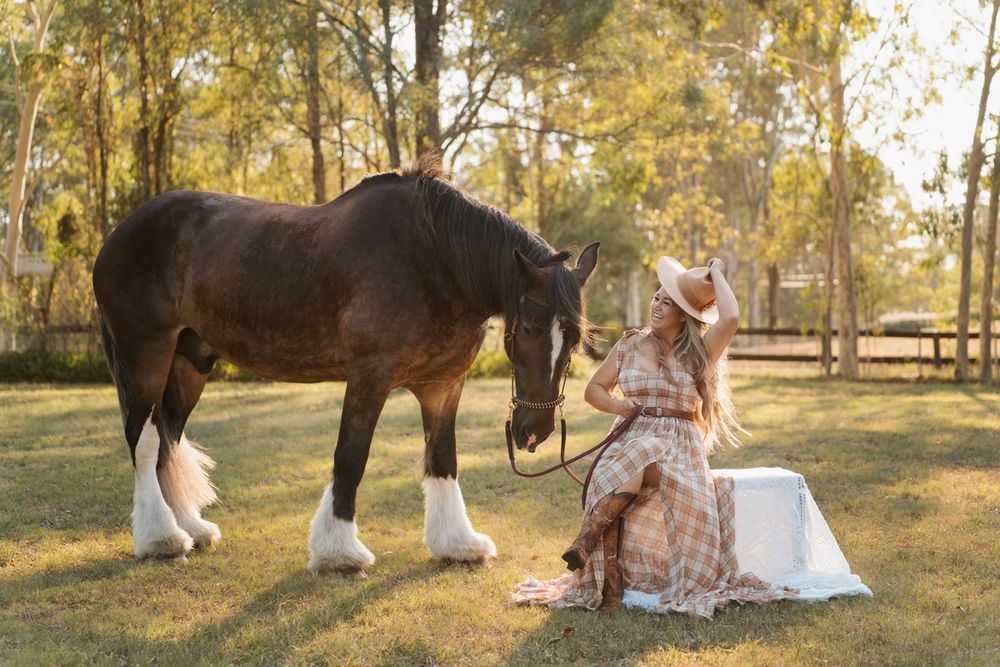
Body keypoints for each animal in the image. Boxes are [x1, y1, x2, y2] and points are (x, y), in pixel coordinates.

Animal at [92, 154, 599, 577]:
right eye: (528, 327)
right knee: (144, 441)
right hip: (146, 356)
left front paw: (457, 543)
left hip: (189, 364)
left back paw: (191, 529)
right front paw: (339, 552)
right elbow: (350, 456)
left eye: (576, 339)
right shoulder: (369, 377)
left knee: (169, 438)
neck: (434, 259)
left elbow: (442, 458)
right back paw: (161, 539)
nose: (533, 432)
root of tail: (118, 235)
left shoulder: (443, 384)